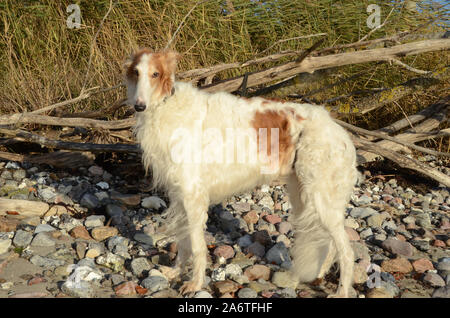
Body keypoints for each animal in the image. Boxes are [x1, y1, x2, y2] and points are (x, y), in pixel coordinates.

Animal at [125, 48, 356, 296]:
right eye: (135, 72)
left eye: (155, 74)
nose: (139, 106)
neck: (166, 105)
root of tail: (339, 131)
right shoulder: (179, 194)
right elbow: (184, 241)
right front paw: (175, 272)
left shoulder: (193, 194)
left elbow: (196, 246)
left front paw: (195, 283)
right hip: (303, 195)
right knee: (330, 245)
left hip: (321, 198)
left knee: (346, 251)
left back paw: (342, 291)